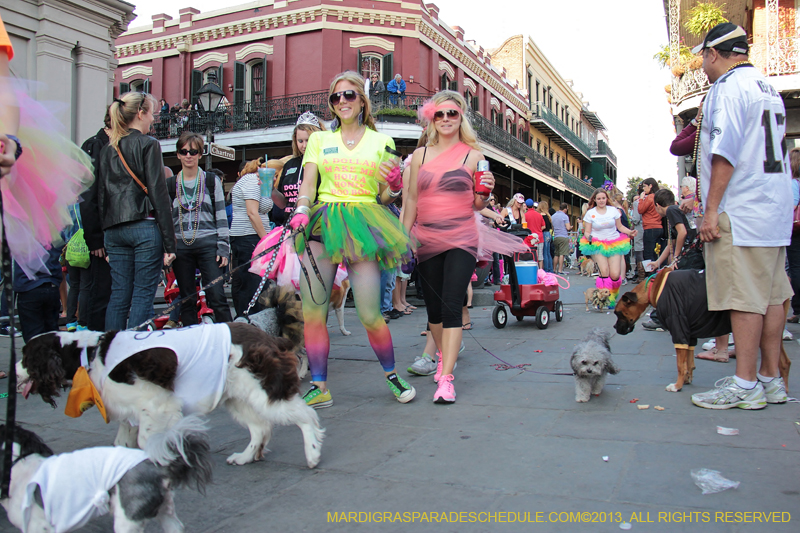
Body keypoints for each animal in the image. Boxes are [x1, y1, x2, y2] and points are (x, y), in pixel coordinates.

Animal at [15, 320, 324, 466]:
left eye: (26, 357)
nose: (12, 372)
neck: (89, 355)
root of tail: (269, 337)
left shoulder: (156, 403)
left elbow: (146, 438)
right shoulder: (130, 410)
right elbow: (122, 441)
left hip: (265, 391)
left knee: (305, 416)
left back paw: (312, 454)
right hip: (238, 396)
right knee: (260, 428)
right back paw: (245, 457)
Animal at [616, 266, 792, 390]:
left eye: (618, 313)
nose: (614, 327)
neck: (655, 286)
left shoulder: (679, 328)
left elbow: (680, 364)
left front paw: (677, 386)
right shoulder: (689, 333)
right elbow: (688, 361)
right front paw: (687, 379)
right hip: (772, 331)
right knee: (784, 362)